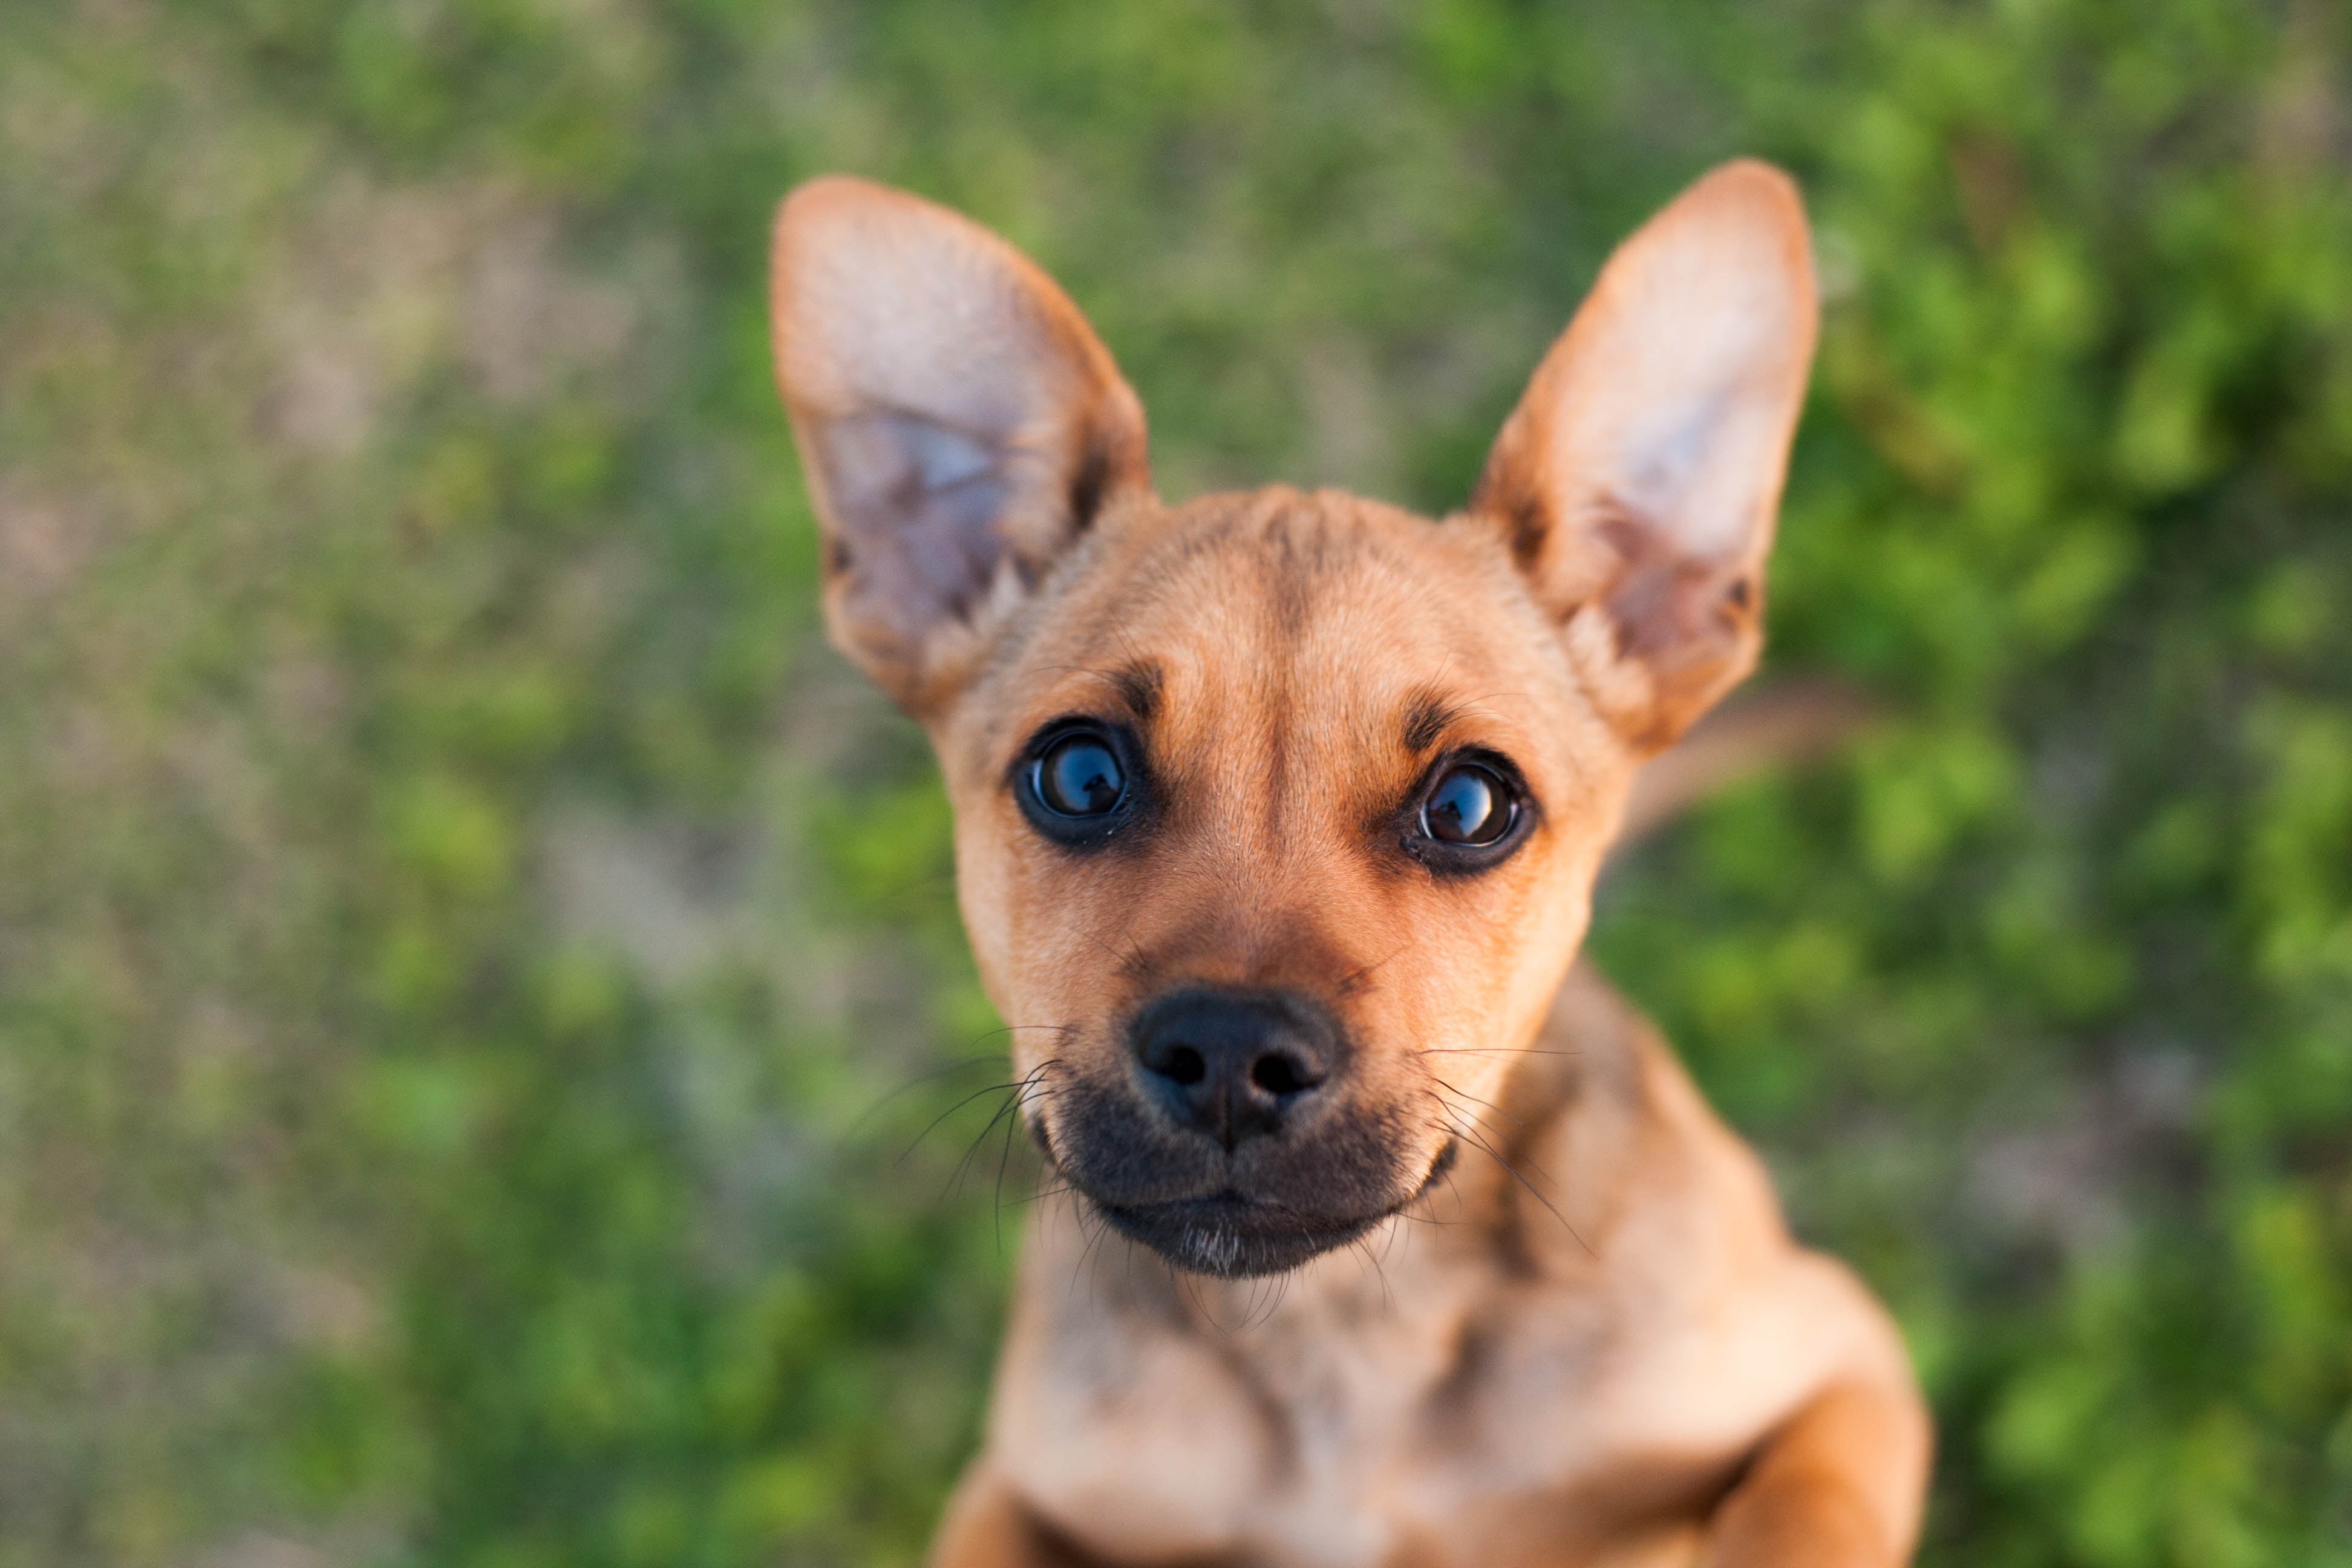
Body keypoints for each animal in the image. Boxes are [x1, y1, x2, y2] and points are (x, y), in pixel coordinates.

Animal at [771, 160, 1929, 1568]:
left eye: (1472, 804)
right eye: (1080, 776)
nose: (1228, 1054)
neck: (1342, 1346)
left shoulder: (1841, 1364)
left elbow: (1806, 1515)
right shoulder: (1021, 1490)